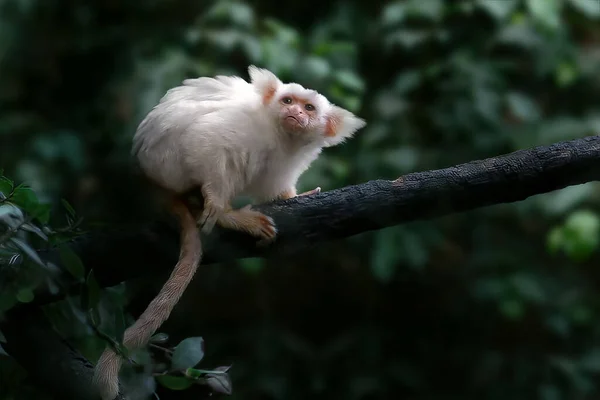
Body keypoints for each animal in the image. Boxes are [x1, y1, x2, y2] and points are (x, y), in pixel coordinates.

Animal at [93, 64, 366, 398]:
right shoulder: (240, 130)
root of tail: (148, 178)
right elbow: (207, 141)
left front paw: (294, 196)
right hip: (169, 164)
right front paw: (219, 209)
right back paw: (225, 214)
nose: (295, 112)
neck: (281, 137)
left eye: (309, 108)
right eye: (288, 101)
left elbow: (276, 189)